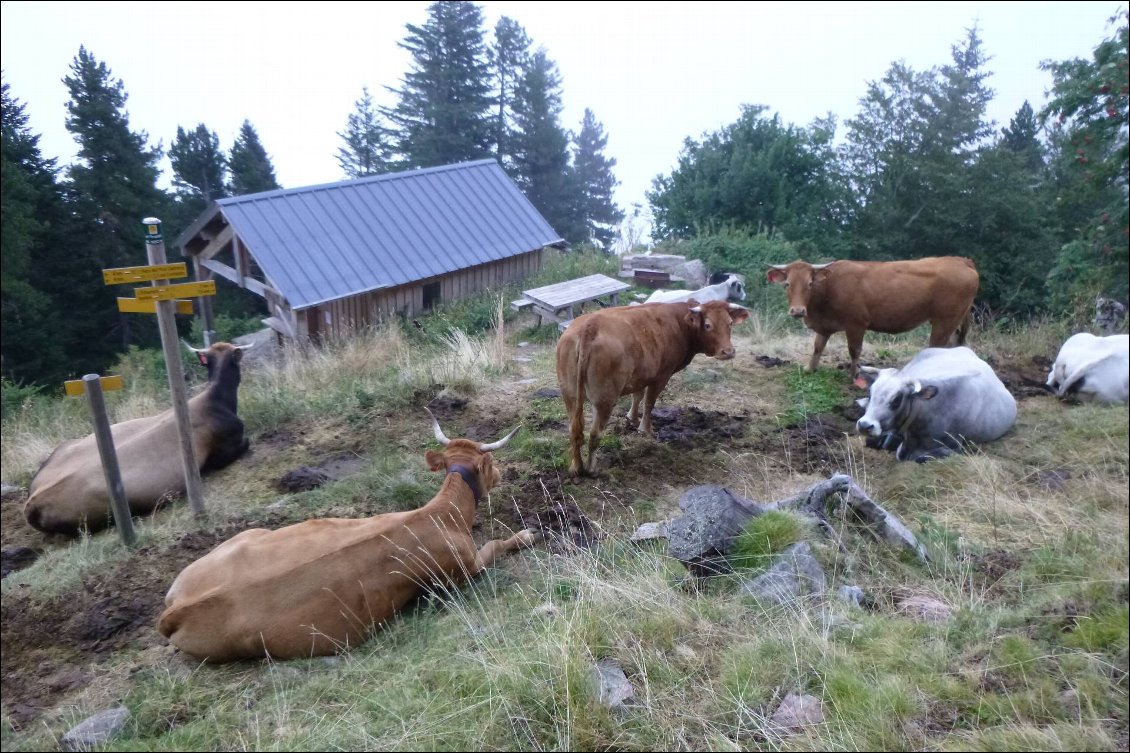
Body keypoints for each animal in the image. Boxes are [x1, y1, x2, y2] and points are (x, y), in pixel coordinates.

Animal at [155, 407, 537, 660]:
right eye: (491, 465)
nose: (500, 474)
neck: (440, 514)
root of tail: (177, 608)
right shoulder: (466, 568)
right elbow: (496, 544)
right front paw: (527, 534)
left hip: (245, 536)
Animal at [555, 296, 750, 472]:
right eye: (708, 325)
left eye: (730, 323)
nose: (728, 352)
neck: (680, 322)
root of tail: (590, 325)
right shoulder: (662, 375)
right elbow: (649, 402)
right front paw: (645, 429)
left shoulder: (641, 375)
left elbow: (637, 396)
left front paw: (632, 418)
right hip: (605, 397)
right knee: (594, 434)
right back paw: (591, 469)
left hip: (570, 393)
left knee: (575, 431)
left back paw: (576, 467)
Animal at [768, 256, 980, 373]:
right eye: (787, 284)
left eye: (810, 284)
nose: (798, 310)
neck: (830, 287)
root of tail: (960, 260)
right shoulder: (825, 325)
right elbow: (818, 347)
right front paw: (810, 368)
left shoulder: (856, 324)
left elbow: (854, 350)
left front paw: (854, 374)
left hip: (944, 322)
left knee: (937, 347)